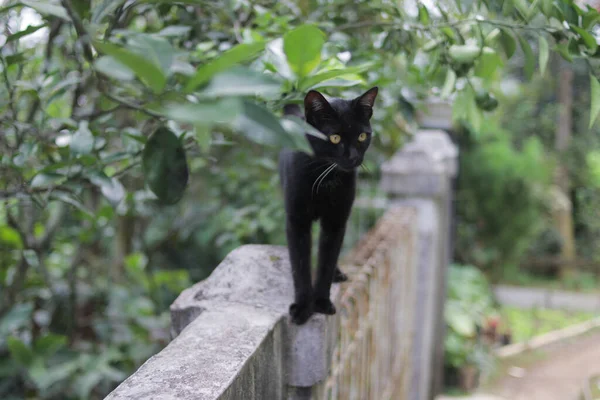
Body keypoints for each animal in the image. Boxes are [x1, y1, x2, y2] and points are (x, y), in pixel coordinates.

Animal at [278, 87, 378, 324]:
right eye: (334, 138)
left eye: (362, 136)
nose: (353, 157)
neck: (325, 180)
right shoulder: (297, 222)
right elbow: (300, 264)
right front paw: (303, 307)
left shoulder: (336, 221)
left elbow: (327, 260)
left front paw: (321, 302)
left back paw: (337, 274)